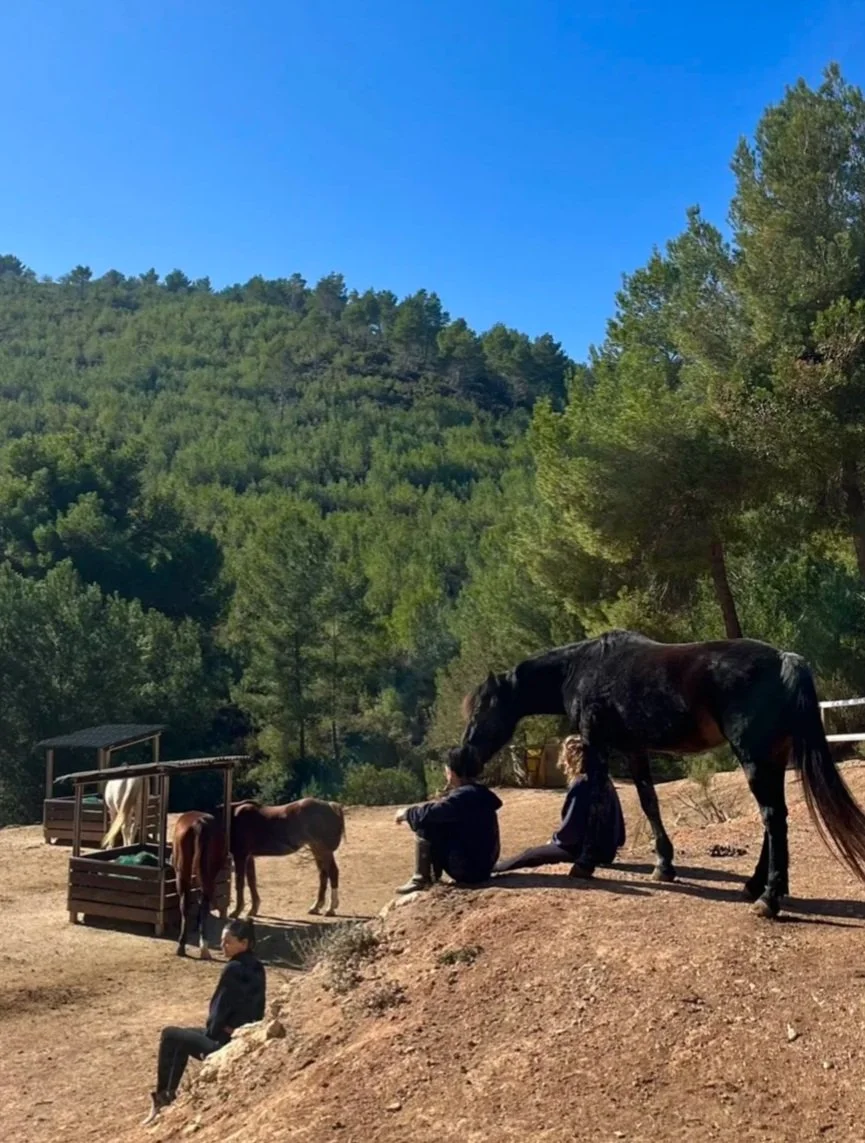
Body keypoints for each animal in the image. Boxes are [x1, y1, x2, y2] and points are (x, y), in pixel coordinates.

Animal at [172, 810, 226, 958]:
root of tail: (199, 824)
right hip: (207, 872)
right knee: (203, 902)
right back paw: (203, 947)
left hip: (182, 873)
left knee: (185, 905)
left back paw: (182, 945)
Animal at [456, 629, 865, 919]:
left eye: (482, 711)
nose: (462, 760)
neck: (584, 668)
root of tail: (784, 661)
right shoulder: (635, 749)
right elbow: (648, 801)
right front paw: (663, 866)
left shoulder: (597, 744)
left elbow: (596, 799)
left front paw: (584, 863)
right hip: (772, 757)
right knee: (773, 818)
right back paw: (756, 886)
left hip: (753, 757)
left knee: (773, 817)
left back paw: (768, 898)